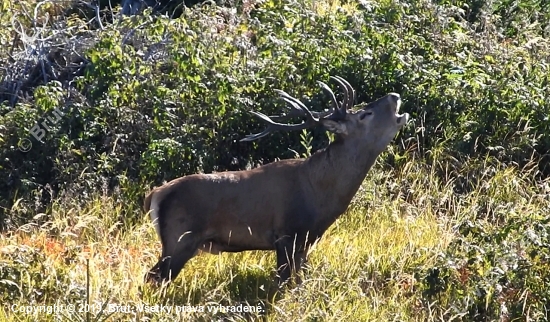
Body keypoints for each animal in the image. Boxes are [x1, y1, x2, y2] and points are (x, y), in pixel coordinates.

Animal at [142, 76, 410, 286]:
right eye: (366, 114)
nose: (395, 95)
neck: (321, 195)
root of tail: (155, 194)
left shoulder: (306, 240)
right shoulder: (286, 234)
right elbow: (282, 283)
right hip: (179, 238)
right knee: (153, 277)